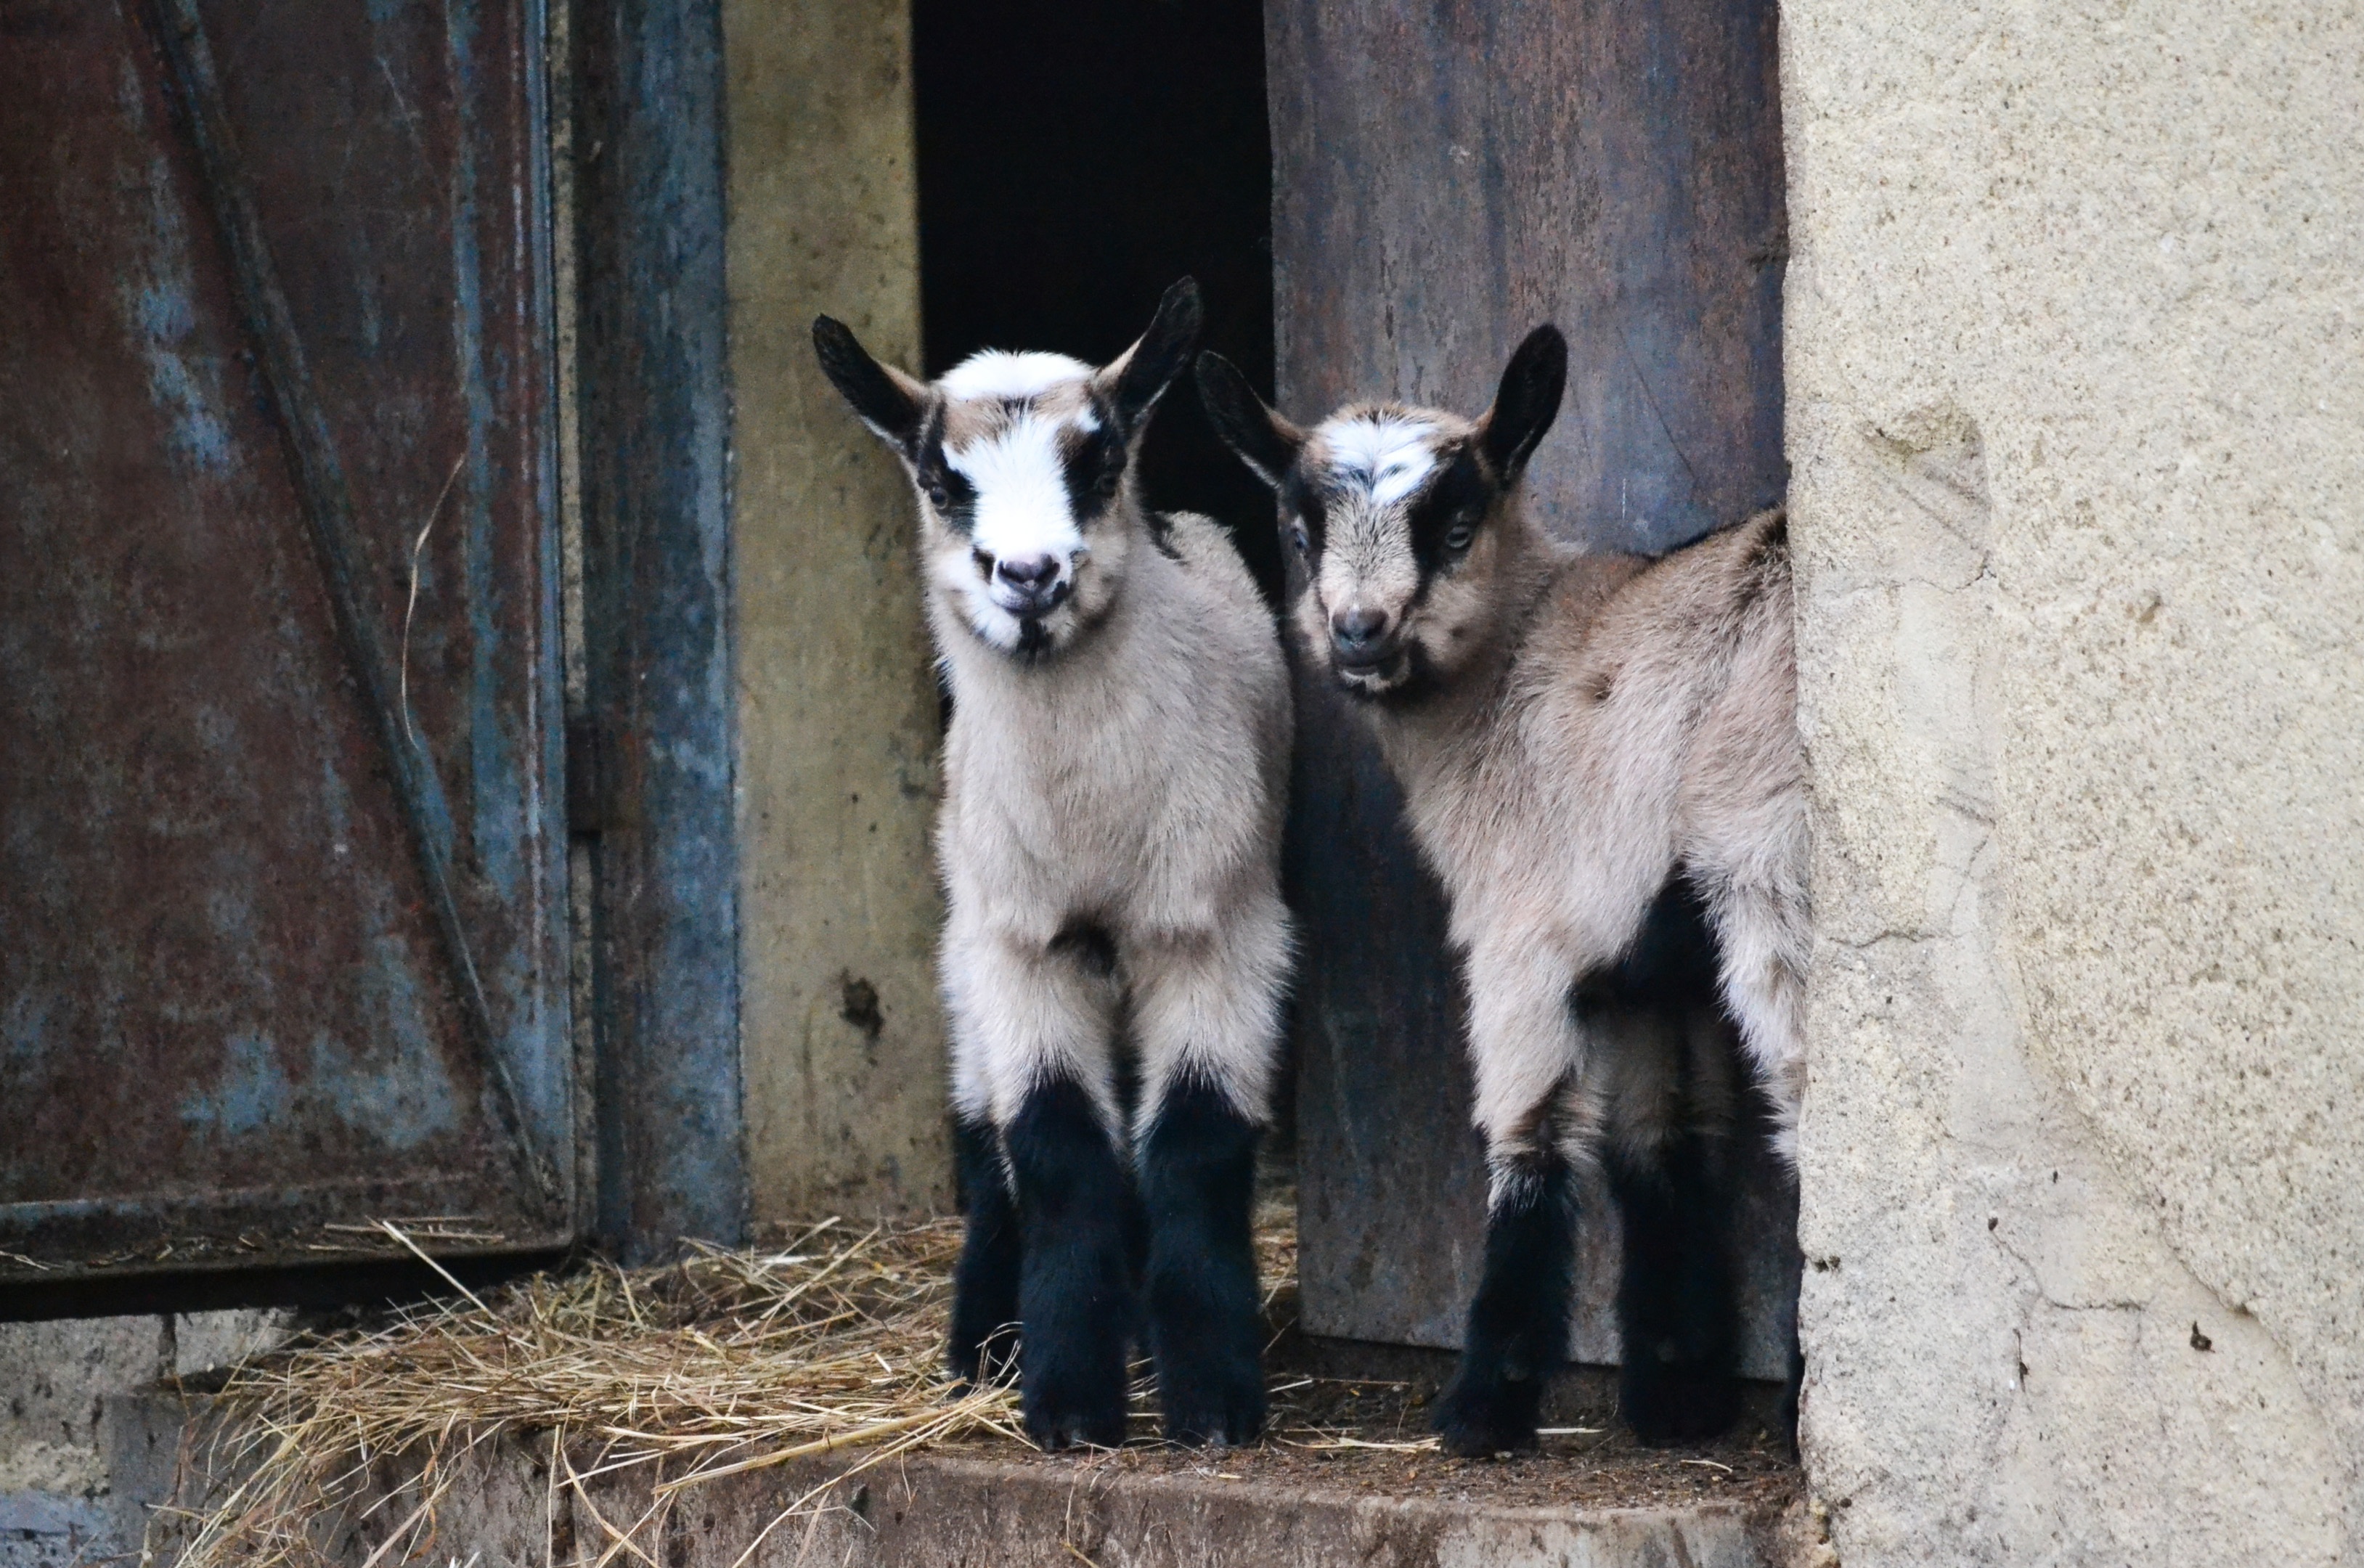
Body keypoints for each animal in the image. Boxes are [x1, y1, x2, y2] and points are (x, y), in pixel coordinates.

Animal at [813, 279, 1295, 1447]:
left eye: (1099, 457)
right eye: (944, 480)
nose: (1028, 575)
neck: (1090, 824)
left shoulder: (1218, 926)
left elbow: (1197, 1140)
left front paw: (1211, 1397)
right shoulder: (1017, 944)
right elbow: (1056, 1146)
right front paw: (1070, 1399)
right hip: (967, 944)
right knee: (986, 1140)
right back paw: (982, 1345)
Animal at [1210, 333, 1796, 1456]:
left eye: (1453, 525)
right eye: (1299, 533)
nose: (1358, 632)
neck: (1514, 671)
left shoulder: (1525, 934)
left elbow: (1529, 1141)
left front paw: (1484, 1404)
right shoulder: (1642, 961)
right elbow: (1663, 1139)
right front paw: (1676, 1395)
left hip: (1769, 865)